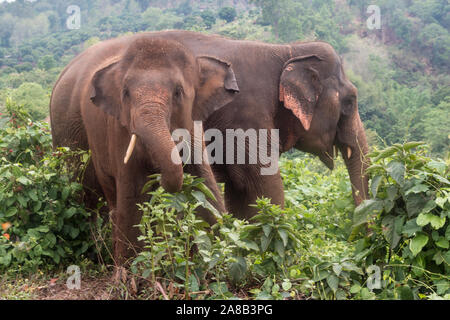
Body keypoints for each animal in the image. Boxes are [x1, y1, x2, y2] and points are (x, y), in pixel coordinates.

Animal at [48, 35, 239, 264]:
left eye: (178, 92)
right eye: (125, 93)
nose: (157, 178)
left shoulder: (194, 127)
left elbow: (205, 189)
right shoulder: (120, 129)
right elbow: (134, 196)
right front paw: (132, 270)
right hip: (68, 131)